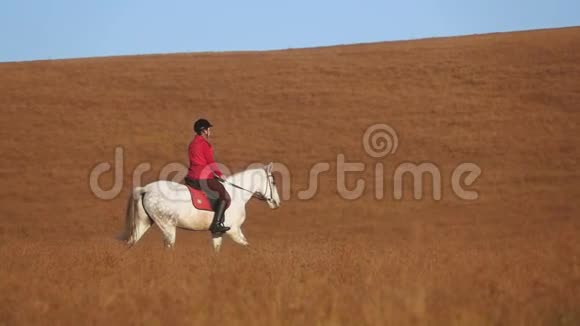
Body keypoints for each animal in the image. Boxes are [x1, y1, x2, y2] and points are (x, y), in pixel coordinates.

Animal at [124, 163, 280, 252]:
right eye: (273, 182)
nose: (277, 203)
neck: (237, 193)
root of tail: (146, 189)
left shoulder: (218, 233)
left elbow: (216, 250)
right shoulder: (234, 231)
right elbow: (248, 247)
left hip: (143, 223)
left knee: (132, 243)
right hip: (168, 227)